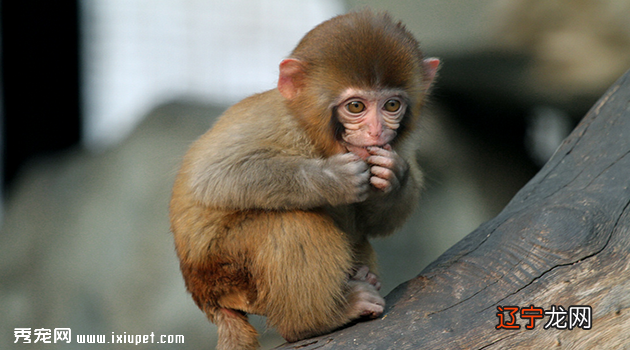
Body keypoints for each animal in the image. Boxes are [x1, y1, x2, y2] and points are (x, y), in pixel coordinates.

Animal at [170, 9, 442, 348]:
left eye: (391, 105)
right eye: (356, 106)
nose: (377, 131)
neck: (317, 136)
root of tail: (205, 297)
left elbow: (373, 224)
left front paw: (393, 175)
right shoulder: (276, 122)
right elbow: (215, 176)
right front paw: (332, 179)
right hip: (223, 269)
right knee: (291, 223)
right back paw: (316, 321)